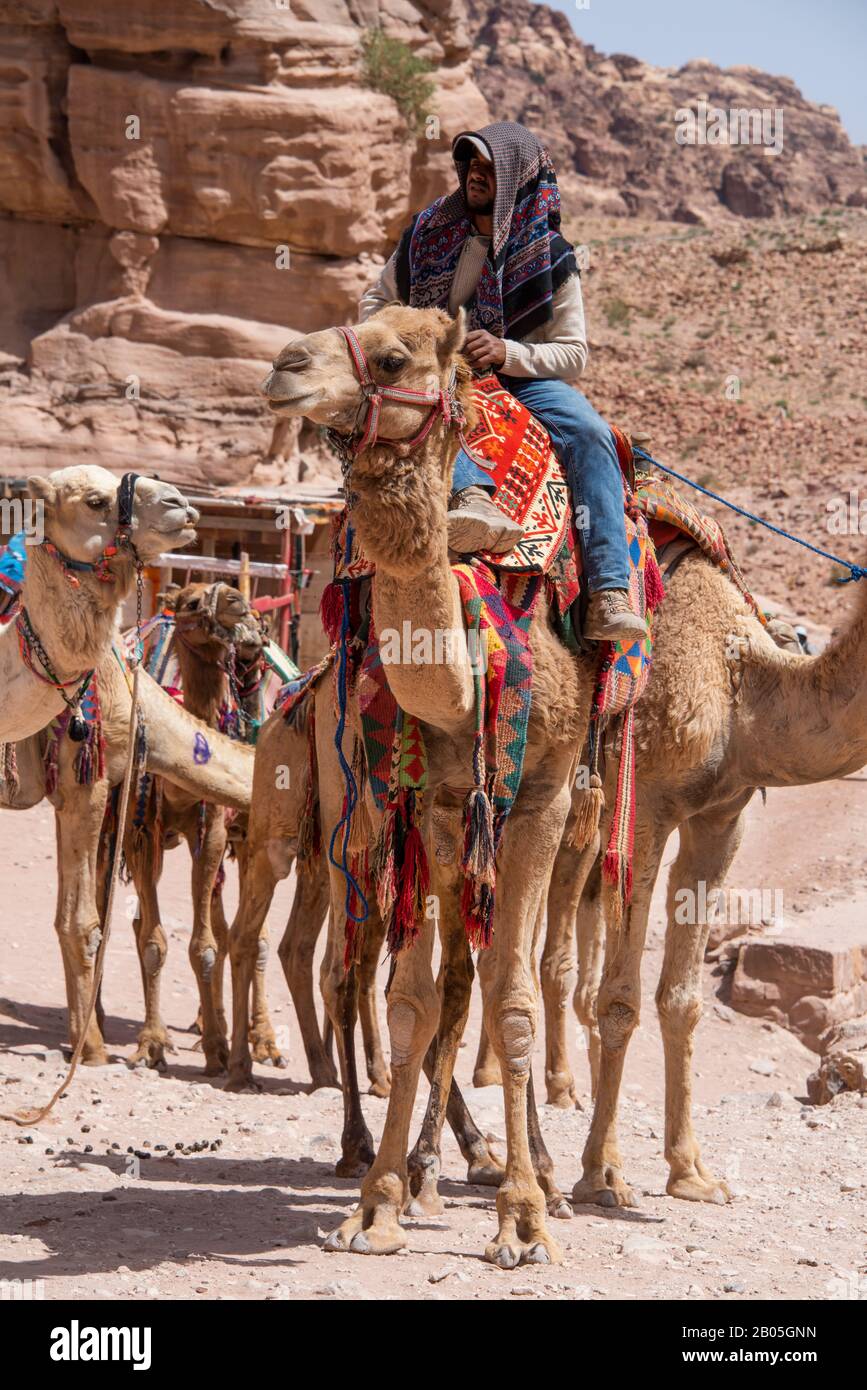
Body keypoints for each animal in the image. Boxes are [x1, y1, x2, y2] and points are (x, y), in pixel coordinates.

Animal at [229, 303, 591, 1267]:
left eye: (393, 359)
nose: (283, 365)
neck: (462, 679)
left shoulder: (536, 805)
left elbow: (507, 999)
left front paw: (525, 1214)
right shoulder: (424, 805)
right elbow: (413, 1000)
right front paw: (380, 1205)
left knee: (461, 982)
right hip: (335, 825)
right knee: (346, 970)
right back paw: (370, 1145)